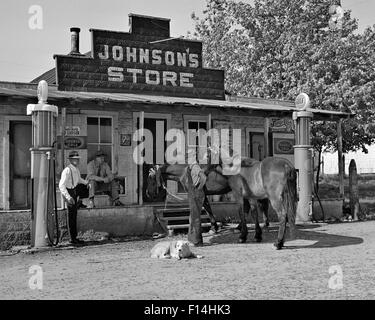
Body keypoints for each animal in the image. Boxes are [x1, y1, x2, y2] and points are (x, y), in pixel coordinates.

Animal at [148, 156, 298, 249]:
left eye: (150, 177)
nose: (148, 194)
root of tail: (286, 165)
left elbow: (213, 209)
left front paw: (218, 228)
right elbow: (208, 208)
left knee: (278, 214)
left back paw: (277, 241)